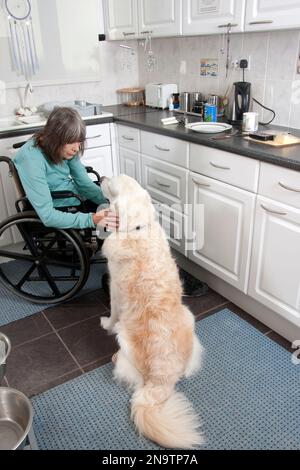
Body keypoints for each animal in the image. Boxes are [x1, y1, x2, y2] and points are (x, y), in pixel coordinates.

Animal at [99, 175, 203, 448]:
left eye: (112, 184)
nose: (100, 177)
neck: (137, 228)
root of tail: (161, 381)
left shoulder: (114, 284)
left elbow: (112, 311)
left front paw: (105, 323)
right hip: (189, 317)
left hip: (124, 340)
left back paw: (114, 358)